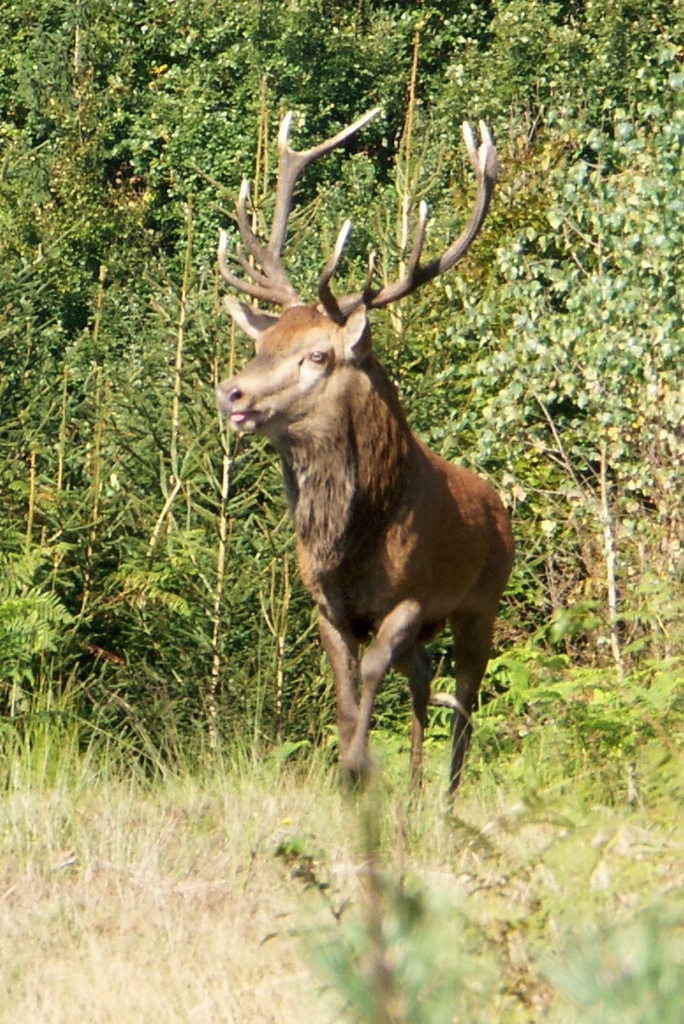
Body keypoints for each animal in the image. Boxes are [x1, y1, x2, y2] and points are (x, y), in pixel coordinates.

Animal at [215, 108, 511, 794]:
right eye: (263, 345)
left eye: (318, 355)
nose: (231, 390)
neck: (349, 546)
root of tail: (500, 506)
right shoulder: (326, 602)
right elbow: (347, 692)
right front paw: (349, 777)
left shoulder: (414, 596)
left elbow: (374, 672)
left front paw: (357, 768)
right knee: (424, 677)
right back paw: (415, 789)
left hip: (482, 604)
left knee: (464, 700)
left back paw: (446, 796)